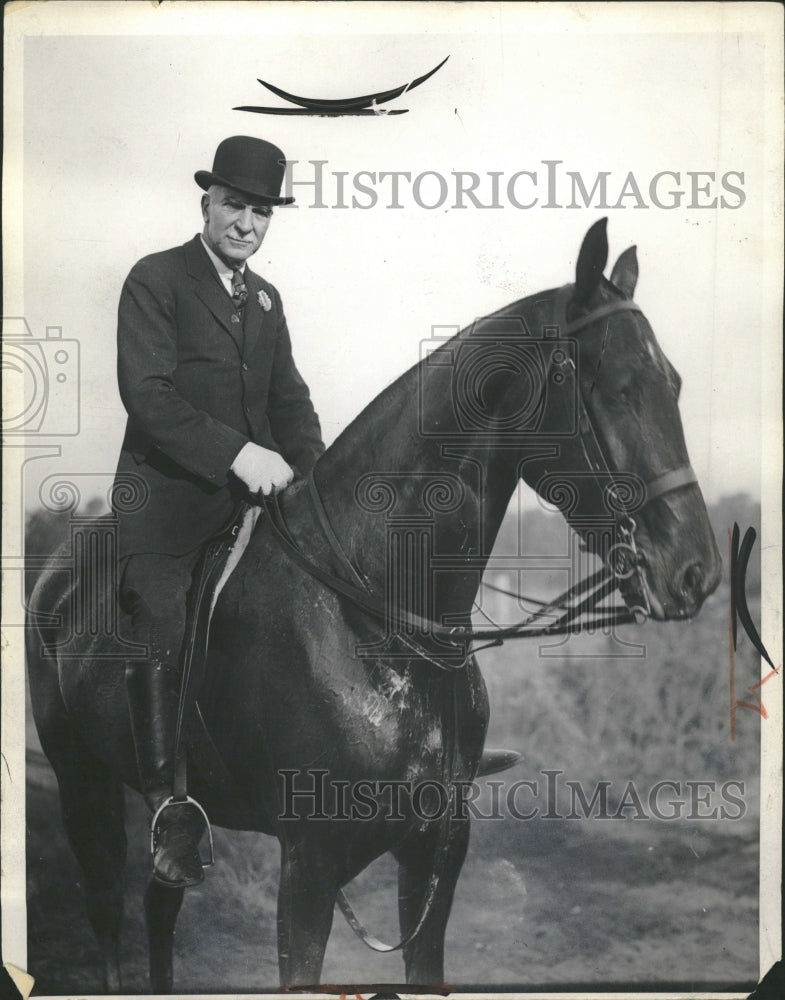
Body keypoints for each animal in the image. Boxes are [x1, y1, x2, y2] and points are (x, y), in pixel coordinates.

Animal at [27, 221, 720, 992]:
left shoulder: (437, 849)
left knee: (159, 905)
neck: (376, 614)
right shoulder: (308, 865)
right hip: (81, 780)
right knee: (107, 911)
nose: (694, 571)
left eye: (674, 384)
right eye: (618, 388)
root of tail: (59, 566)